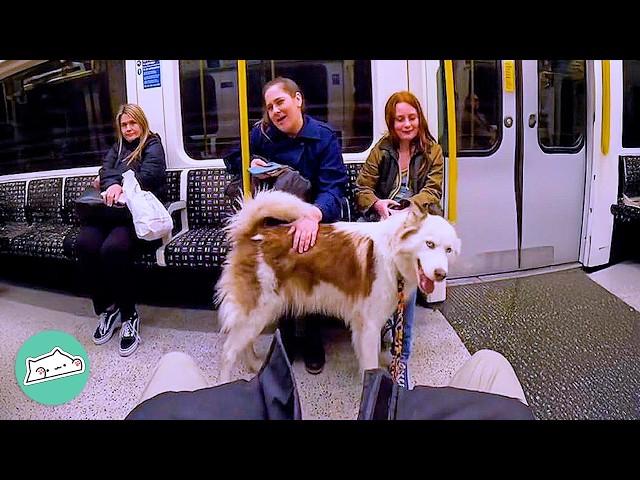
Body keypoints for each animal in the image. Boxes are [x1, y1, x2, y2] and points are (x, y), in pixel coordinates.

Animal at [215, 190, 460, 382]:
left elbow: (367, 360)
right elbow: (370, 364)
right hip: (258, 310)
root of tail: (254, 234)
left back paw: (255, 365)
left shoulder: (364, 325)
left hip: (261, 311)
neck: (392, 252)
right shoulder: (370, 325)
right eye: (429, 244)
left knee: (244, 343)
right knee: (227, 352)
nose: (441, 275)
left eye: (448, 250)